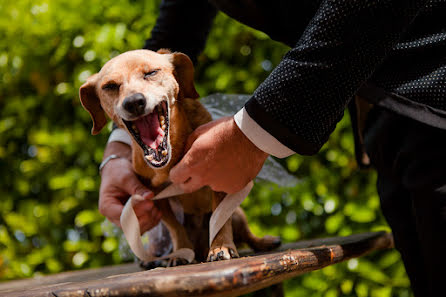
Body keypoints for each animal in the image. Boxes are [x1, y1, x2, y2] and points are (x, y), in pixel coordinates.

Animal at [78, 49, 278, 264]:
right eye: (110, 86)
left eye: (151, 73)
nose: (133, 102)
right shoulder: (155, 196)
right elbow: (175, 226)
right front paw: (182, 250)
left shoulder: (219, 176)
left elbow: (220, 218)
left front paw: (220, 246)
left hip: (239, 215)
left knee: (247, 234)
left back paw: (264, 241)